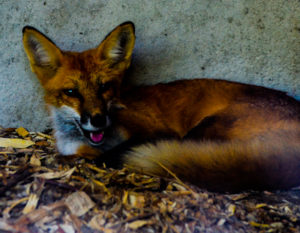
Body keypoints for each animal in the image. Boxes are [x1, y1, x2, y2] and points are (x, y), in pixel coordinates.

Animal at [22, 22, 300, 192]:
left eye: (105, 87)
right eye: (71, 92)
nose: (98, 119)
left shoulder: (160, 131)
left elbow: (115, 152)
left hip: (205, 128)